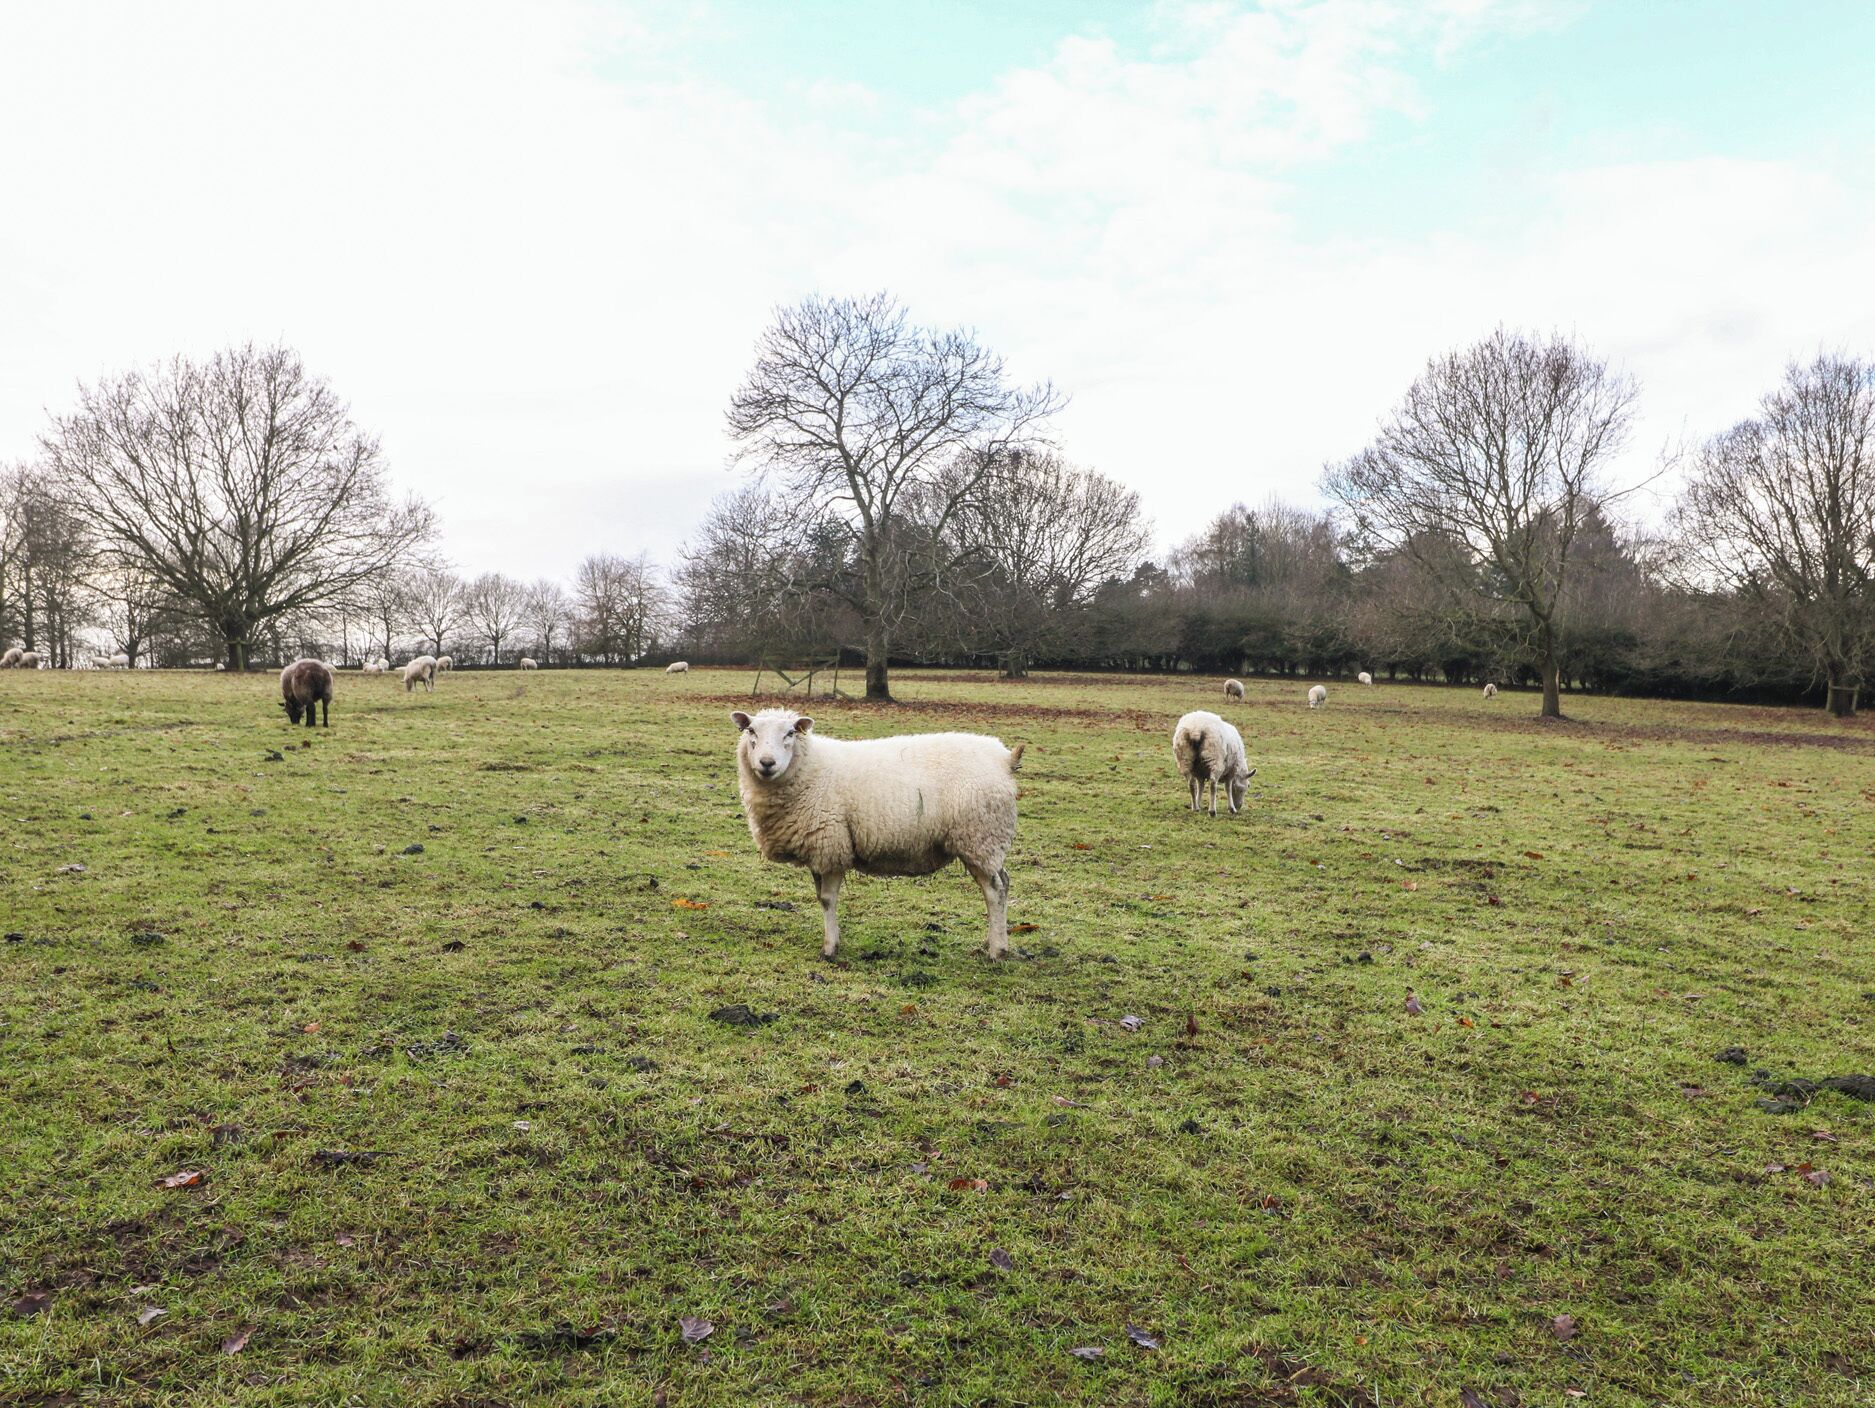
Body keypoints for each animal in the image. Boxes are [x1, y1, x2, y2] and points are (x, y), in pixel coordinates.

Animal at [731, 707, 1024, 960]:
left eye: (790, 733)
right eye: (751, 731)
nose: (767, 763)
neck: (811, 769)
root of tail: (1003, 758)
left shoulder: (833, 844)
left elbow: (827, 899)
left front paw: (829, 949)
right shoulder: (817, 847)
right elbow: (820, 898)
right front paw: (832, 942)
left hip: (980, 836)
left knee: (995, 890)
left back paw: (997, 950)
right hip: (982, 841)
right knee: (1003, 883)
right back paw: (993, 941)